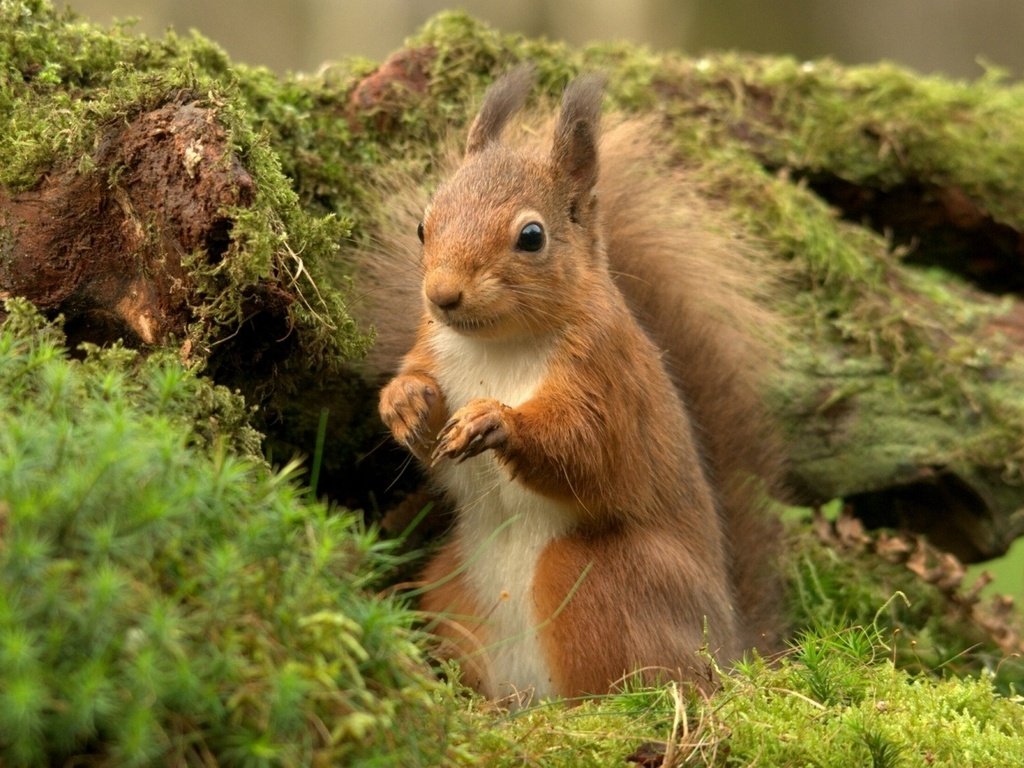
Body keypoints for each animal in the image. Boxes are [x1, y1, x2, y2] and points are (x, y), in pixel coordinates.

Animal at [368, 69, 782, 708]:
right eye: (422, 224)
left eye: (531, 236)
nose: (442, 295)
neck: (500, 347)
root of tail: (728, 644)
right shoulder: (431, 348)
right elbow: (421, 398)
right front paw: (404, 402)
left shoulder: (606, 378)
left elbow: (587, 449)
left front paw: (497, 420)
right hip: (450, 590)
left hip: (598, 580)